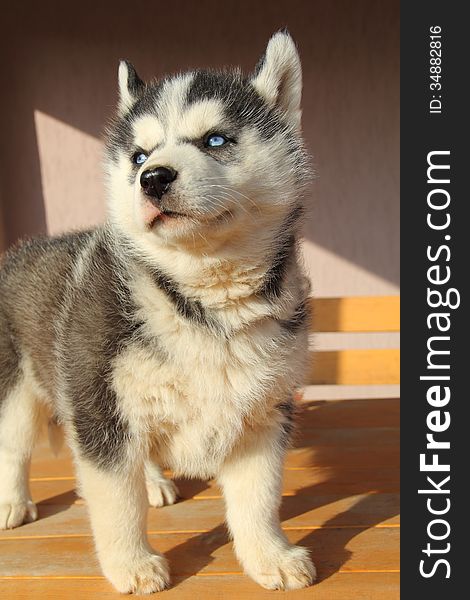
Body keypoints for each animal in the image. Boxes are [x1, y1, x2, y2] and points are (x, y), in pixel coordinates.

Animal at [0, 31, 316, 592]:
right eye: (139, 154)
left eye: (216, 140)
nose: (152, 178)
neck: (203, 305)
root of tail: (23, 248)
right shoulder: (99, 403)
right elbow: (114, 501)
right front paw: (131, 563)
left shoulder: (263, 414)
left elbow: (258, 500)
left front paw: (269, 556)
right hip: (20, 387)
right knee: (14, 445)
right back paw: (13, 502)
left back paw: (151, 480)